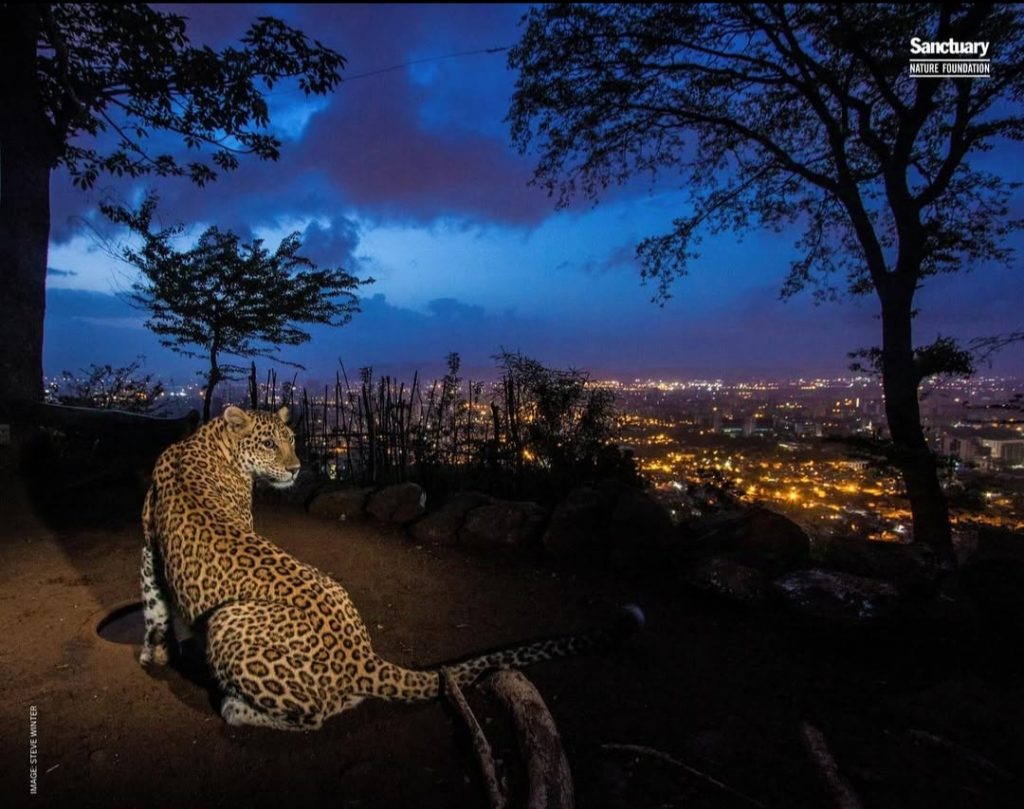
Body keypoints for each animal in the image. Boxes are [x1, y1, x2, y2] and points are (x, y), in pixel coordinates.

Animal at [140, 409, 643, 733]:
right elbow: (154, 606)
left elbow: (153, 605)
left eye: (293, 441)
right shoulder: (150, 544)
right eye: (269, 443)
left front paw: (157, 656)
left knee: (313, 717)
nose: (297, 468)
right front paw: (159, 654)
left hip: (228, 620)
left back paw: (235, 709)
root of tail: (363, 656)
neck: (206, 441)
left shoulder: (153, 547)